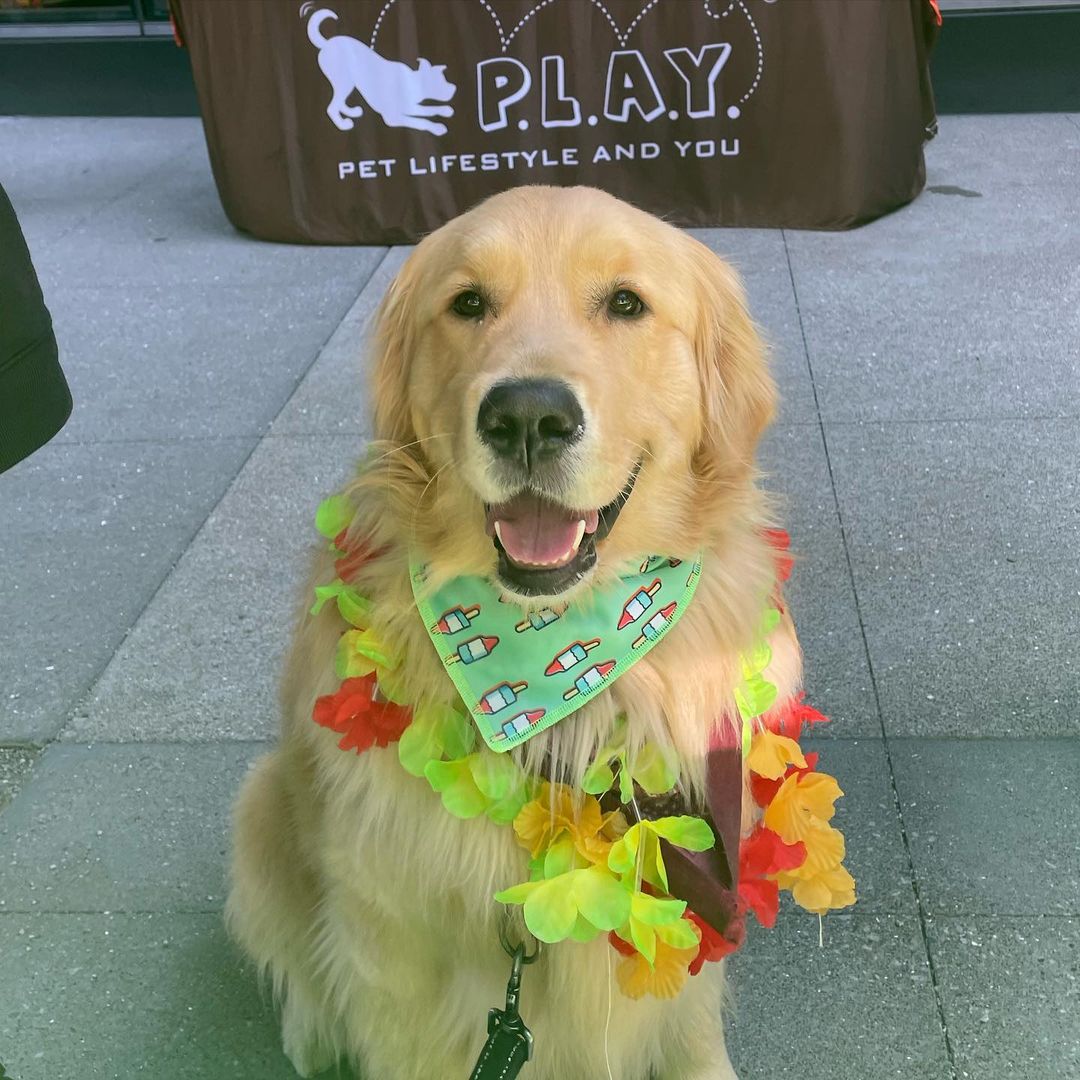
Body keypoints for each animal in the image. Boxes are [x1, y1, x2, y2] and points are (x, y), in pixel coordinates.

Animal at [225, 187, 803, 1080]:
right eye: (468, 304)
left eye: (626, 303)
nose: (528, 415)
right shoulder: (393, 950)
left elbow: (693, 1034)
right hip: (260, 807)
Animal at [304, 5, 455, 135]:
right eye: (439, 81)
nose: (453, 88)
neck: (412, 83)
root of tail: (327, 43)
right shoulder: (393, 117)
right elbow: (421, 121)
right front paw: (437, 127)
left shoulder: (412, 106)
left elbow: (430, 109)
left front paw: (445, 110)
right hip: (343, 82)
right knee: (332, 107)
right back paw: (343, 124)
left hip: (349, 83)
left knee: (339, 102)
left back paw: (352, 112)